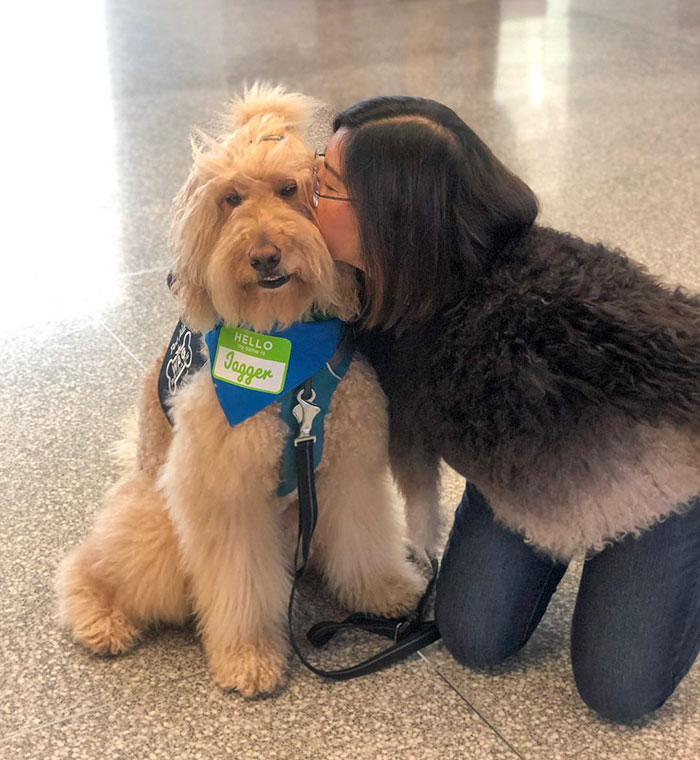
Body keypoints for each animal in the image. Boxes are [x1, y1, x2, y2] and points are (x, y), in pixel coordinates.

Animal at [54, 86, 424, 696]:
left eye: (289, 190)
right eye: (230, 199)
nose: (265, 256)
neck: (288, 348)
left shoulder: (349, 468)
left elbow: (365, 536)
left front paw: (383, 590)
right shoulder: (228, 496)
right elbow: (241, 587)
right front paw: (249, 656)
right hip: (156, 525)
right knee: (92, 562)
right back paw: (99, 617)